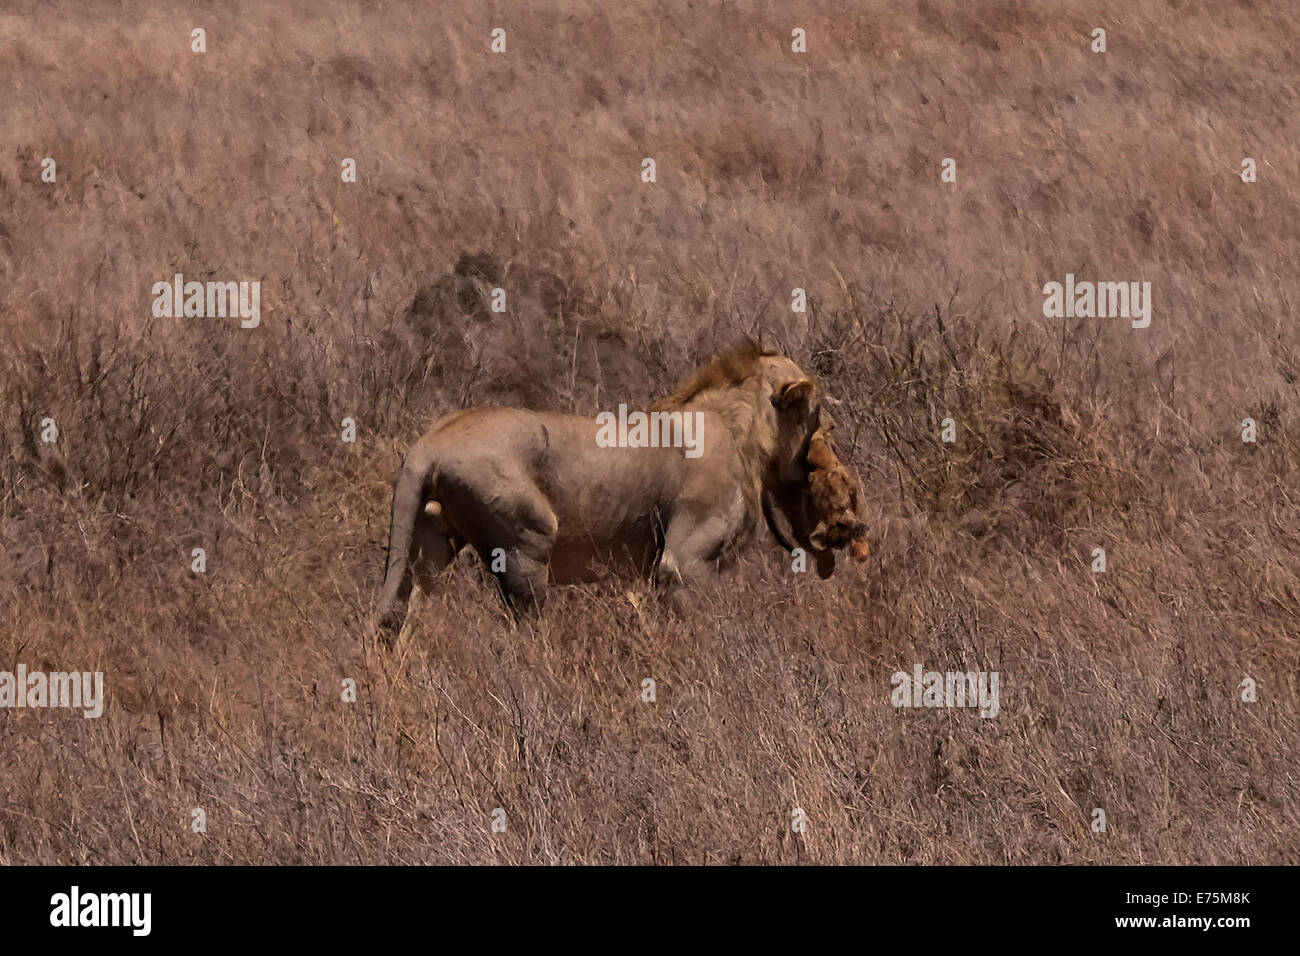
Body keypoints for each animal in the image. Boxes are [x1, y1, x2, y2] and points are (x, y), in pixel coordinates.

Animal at [377, 340, 863, 632]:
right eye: (820, 417)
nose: (833, 431)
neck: (742, 431)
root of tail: (428, 444)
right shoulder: (684, 563)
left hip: (431, 543)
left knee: (410, 614)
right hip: (528, 542)